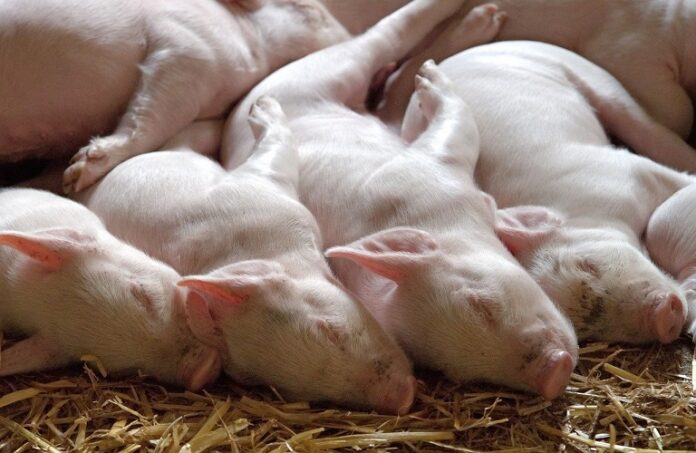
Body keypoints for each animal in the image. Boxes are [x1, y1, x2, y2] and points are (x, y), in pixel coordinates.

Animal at [0, 0, 349, 192]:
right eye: (309, 10)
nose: (351, 35)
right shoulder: (188, 50)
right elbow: (152, 113)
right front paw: (76, 174)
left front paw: (62, 177)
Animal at [220, 1, 579, 400]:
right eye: (454, 371)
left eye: (482, 304)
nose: (555, 372)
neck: (437, 218)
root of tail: (243, 108)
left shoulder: (427, 166)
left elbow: (458, 125)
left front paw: (434, 79)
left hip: (326, 74)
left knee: (382, 46)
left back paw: (472, 31)